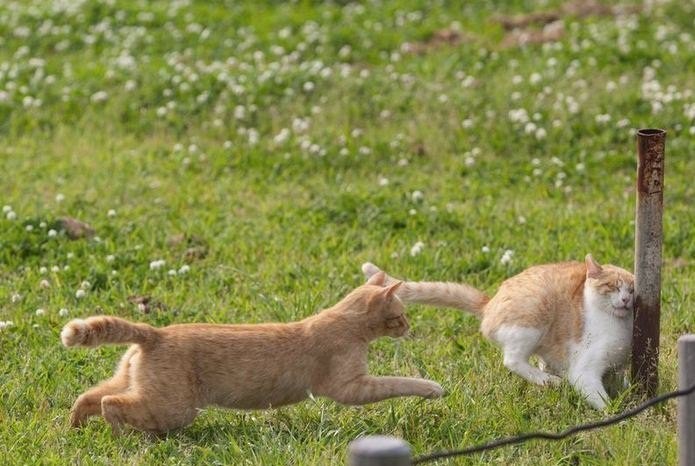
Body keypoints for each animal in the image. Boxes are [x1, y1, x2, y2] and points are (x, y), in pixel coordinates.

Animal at [58, 274, 440, 434]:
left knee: (89, 396)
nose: (408, 328)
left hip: (132, 382)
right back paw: (123, 436)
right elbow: (398, 382)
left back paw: (75, 426)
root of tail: (157, 333)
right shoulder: (352, 388)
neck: (345, 323)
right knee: (111, 404)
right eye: (400, 315)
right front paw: (432, 389)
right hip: (173, 408)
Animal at [364, 253, 636, 410]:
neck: (618, 326)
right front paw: (616, 416)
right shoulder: (585, 371)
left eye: (632, 290)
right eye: (613, 287)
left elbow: (617, 381)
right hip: (535, 311)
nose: (625, 300)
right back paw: (548, 381)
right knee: (513, 360)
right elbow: (601, 400)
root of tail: (489, 303)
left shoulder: (615, 368)